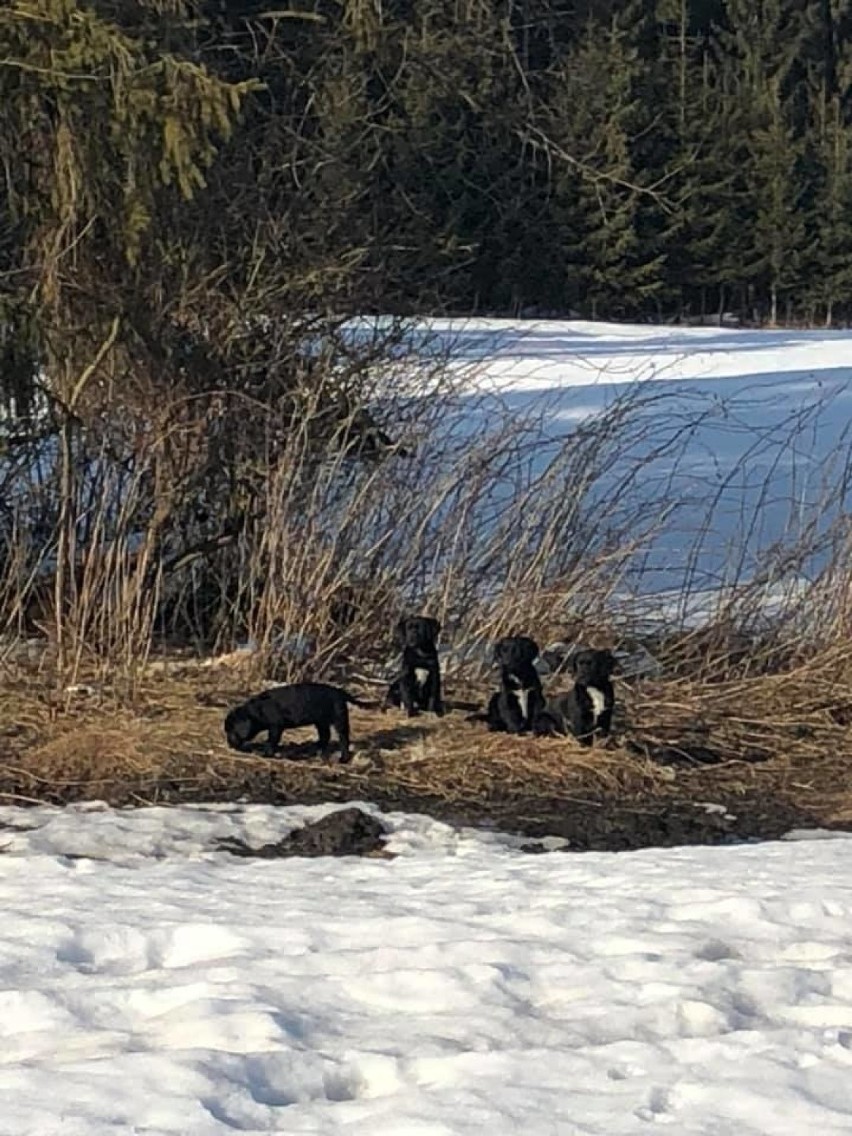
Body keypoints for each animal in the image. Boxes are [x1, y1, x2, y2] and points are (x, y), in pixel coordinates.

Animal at [223, 681, 368, 763]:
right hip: (321, 721)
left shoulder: (276, 726)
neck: (257, 711)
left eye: (232, 730)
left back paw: (342, 759)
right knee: (325, 736)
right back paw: (314, 749)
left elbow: (271, 741)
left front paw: (266, 754)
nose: (229, 744)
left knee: (343, 738)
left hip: (339, 718)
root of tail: (341, 692)